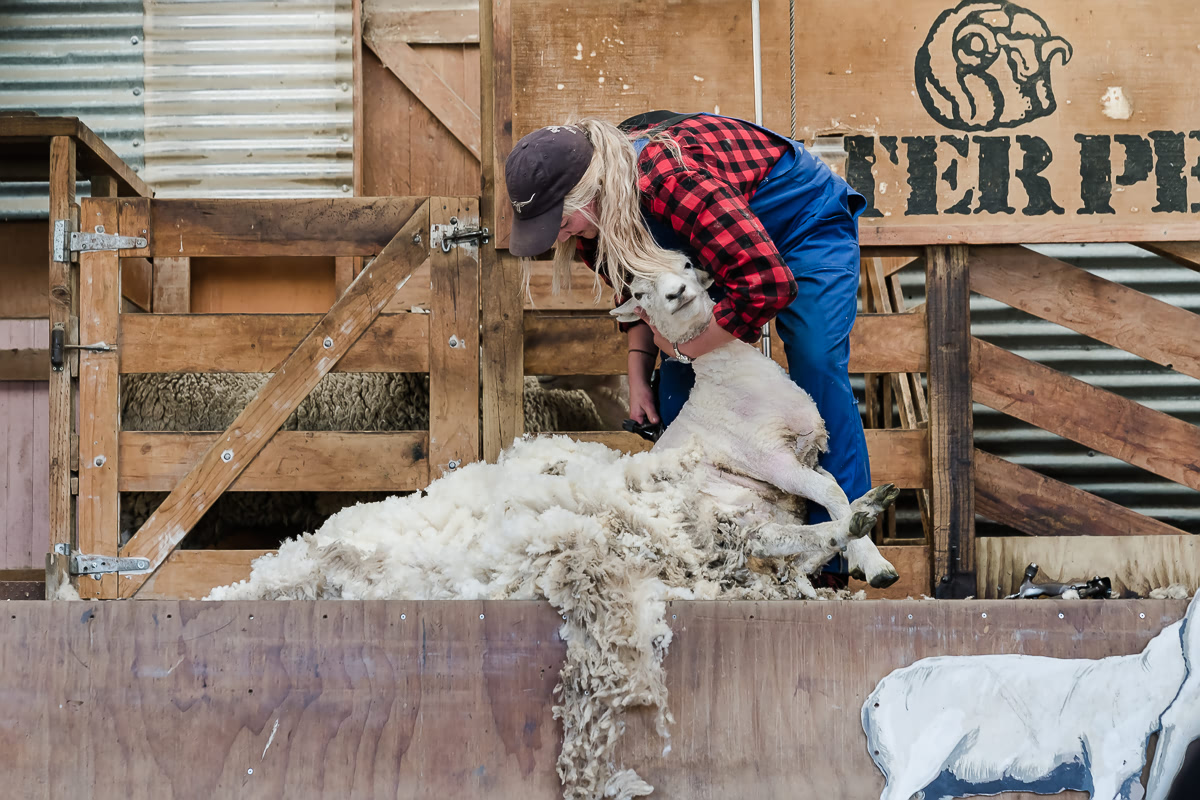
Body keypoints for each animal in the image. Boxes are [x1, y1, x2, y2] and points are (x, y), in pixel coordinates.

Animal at [609, 262, 902, 587]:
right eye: (638, 293)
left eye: (687, 264)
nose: (677, 292)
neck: (727, 375)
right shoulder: (772, 460)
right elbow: (831, 492)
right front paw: (873, 561)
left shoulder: (807, 458)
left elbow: (835, 489)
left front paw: (860, 537)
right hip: (717, 519)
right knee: (769, 541)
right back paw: (856, 530)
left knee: (790, 555)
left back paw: (871, 504)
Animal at [868, 597, 1195, 800]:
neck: (1143, 680)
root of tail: (874, 698)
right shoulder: (1107, 770)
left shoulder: (1129, 780)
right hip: (913, 765)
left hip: (934, 783)